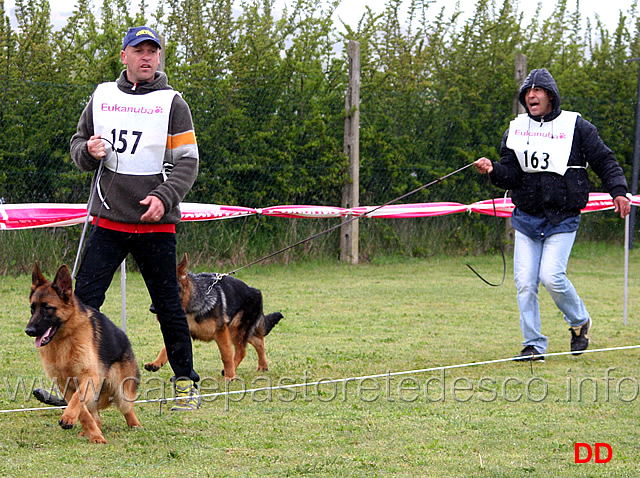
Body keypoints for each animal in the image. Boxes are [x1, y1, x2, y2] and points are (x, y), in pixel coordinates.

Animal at [26, 264, 140, 442]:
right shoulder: (65, 385)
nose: (28, 330)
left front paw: (70, 419)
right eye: (32, 309)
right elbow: (83, 412)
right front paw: (94, 436)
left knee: (127, 409)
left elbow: (77, 399)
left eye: (47, 308)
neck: (64, 339)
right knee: (97, 418)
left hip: (121, 391)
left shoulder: (89, 377)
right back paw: (90, 431)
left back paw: (135, 425)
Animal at [149, 254, 284, 380]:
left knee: (241, 351)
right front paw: (156, 363)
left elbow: (226, 355)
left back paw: (232, 370)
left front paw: (230, 376)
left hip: (235, 330)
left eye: (165, 290)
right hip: (239, 331)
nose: (151, 309)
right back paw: (263, 365)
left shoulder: (221, 332)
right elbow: (168, 349)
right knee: (259, 340)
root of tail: (256, 292)